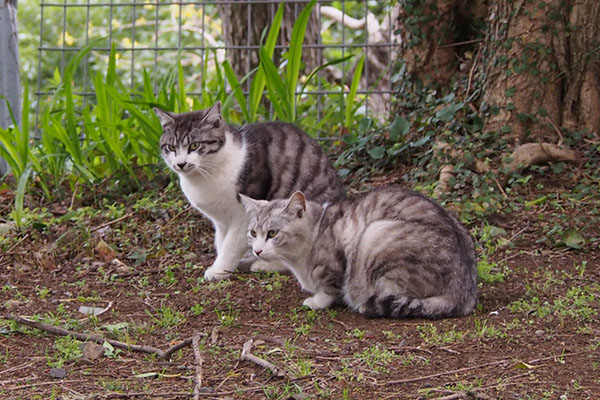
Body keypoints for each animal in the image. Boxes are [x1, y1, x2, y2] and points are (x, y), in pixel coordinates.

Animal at [154, 102, 342, 282]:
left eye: (195, 145)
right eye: (171, 147)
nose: (180, 163)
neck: (205, 176)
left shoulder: (243, 217)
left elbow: (230, 245)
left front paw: (218, 270)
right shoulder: (220, 221)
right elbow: (221, 242)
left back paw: (265, 264)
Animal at [240, 186, 478, 318]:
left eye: (272, 233)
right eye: (253, 232)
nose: (257, 250)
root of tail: (462, 291)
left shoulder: (339, 253)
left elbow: (330, 287)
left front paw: (317, 301)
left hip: (375, 235)